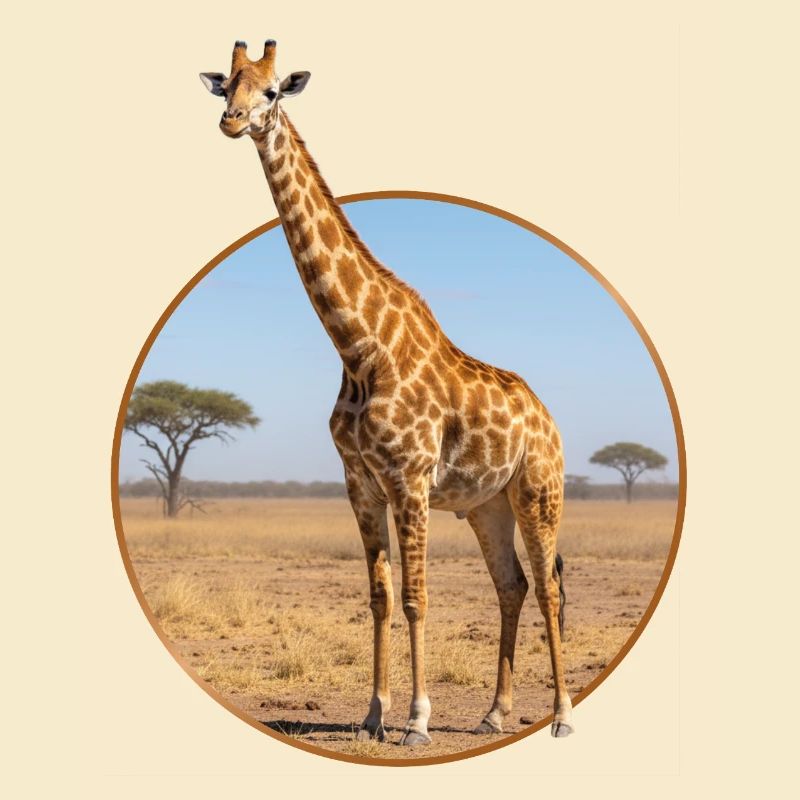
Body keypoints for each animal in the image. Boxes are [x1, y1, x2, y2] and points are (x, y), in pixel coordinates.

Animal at [200, 40, 573, 743]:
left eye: (271, 92)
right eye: (226, 86)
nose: (232, 123)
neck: (358, 346)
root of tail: (549, 420)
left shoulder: (410, 479)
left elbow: (415, 597)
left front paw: (418, 720)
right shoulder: (361, 484)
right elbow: (378, 597)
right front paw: (375, 713)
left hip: (539, 491)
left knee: (547, 587)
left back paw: (562, 716)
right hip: (488, 504)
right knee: (510, 585)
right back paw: (494, 713)